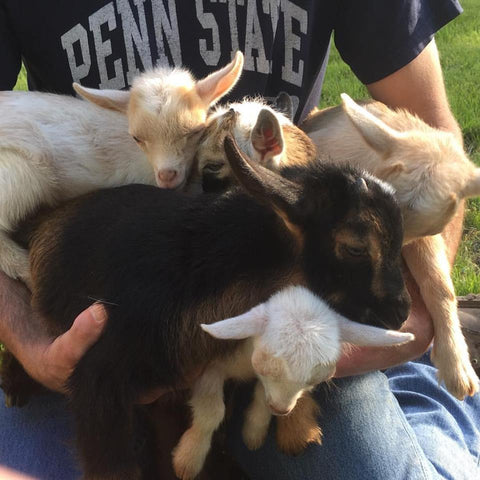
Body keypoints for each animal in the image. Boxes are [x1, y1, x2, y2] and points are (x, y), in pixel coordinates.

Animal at [172, 284, 412, 480]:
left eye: (313, 381)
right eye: (267, 368)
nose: (282, 410)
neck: (247, 361)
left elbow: (262, 397)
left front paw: (254, 431)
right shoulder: (209, 368)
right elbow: (212, 412)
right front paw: (189, 459)